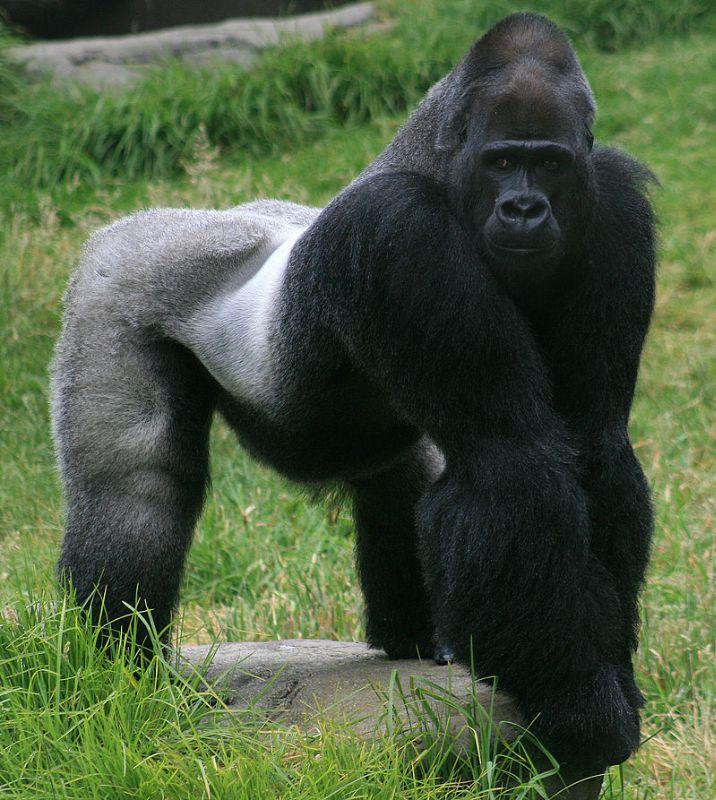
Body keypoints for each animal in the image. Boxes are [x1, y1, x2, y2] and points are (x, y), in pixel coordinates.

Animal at [50, 14, 656, 776]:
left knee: (403, 480)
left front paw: (602, 687)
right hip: (117, 278)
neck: (431, 160)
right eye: (500, 163)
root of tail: (157, 218)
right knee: (136, 489)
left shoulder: (613, 207)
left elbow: (593, 445)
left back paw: (420, 642)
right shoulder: (400, 230)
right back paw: (115, 669)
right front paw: (582, 705)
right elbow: (512, 460)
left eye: (547, 164)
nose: (524, 208)